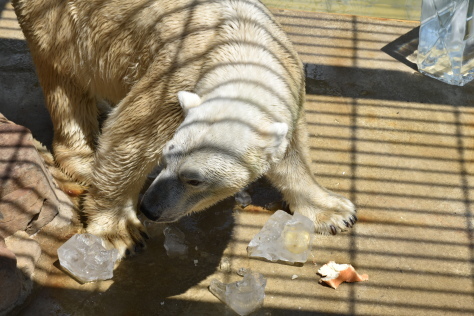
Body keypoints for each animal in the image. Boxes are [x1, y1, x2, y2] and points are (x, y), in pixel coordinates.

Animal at [12, 0, 356, 256]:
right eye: (165, 160)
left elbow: (293, 153)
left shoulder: (291, 84)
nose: (149, 209)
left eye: (194, 179)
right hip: (58, 19)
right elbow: (130, 137)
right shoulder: (173, 81)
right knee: (64, 77)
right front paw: (119, 230)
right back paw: (85, 161)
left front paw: (335, 212)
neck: (246, 50)